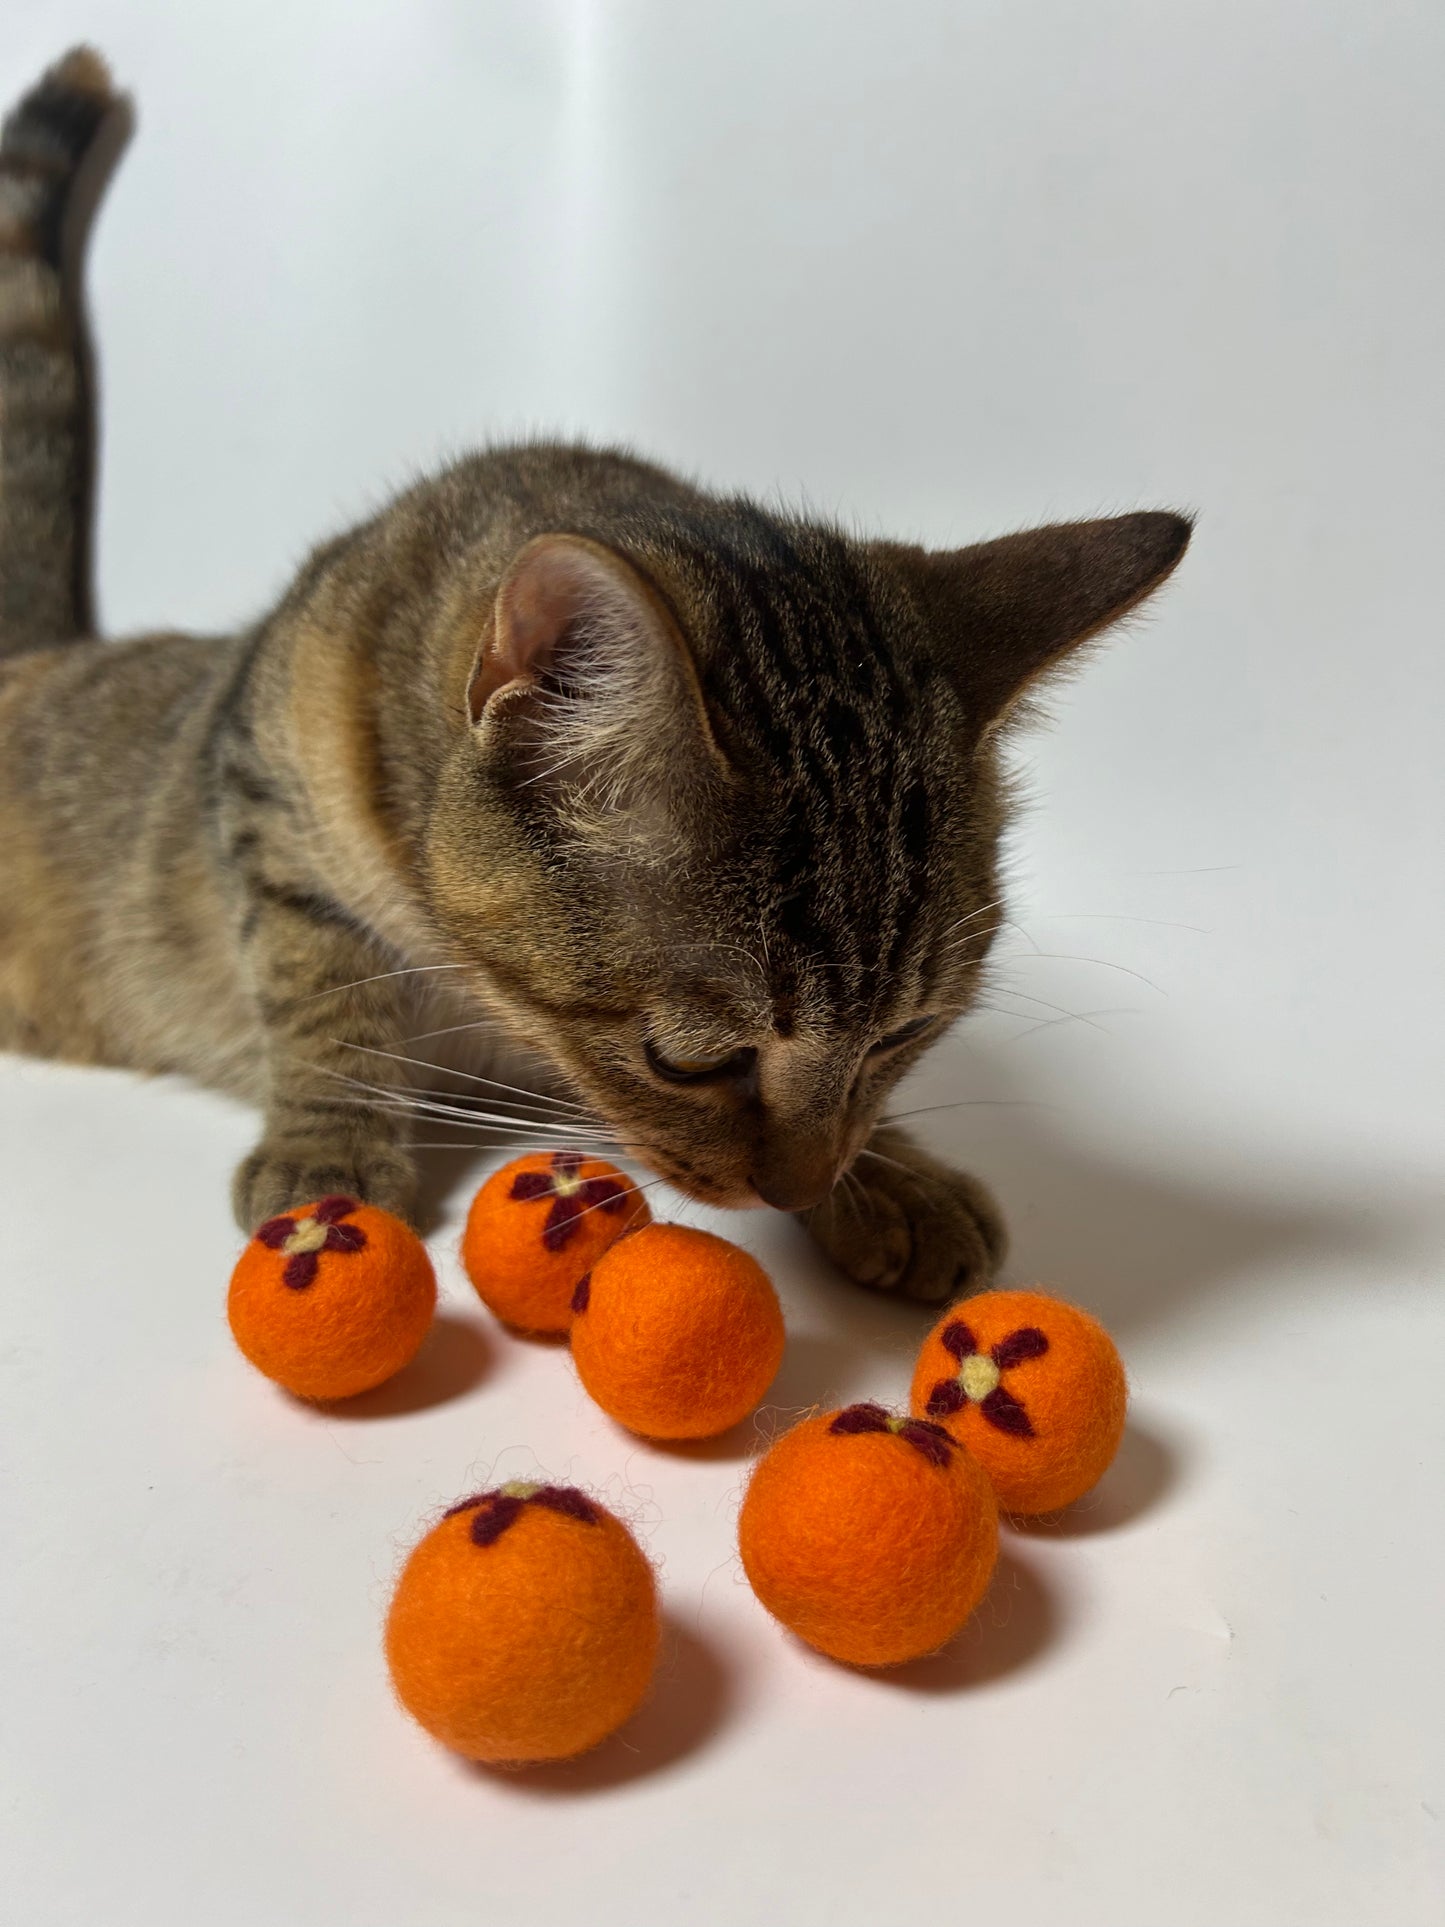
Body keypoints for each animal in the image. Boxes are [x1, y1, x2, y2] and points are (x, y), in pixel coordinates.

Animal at [0, 52, 1186, 1302]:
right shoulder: (267, 786)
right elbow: (325, 986)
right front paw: (328, 1146)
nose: (801, 1187)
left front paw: (890, 1175)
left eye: (904, 1038)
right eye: (688, 1061)